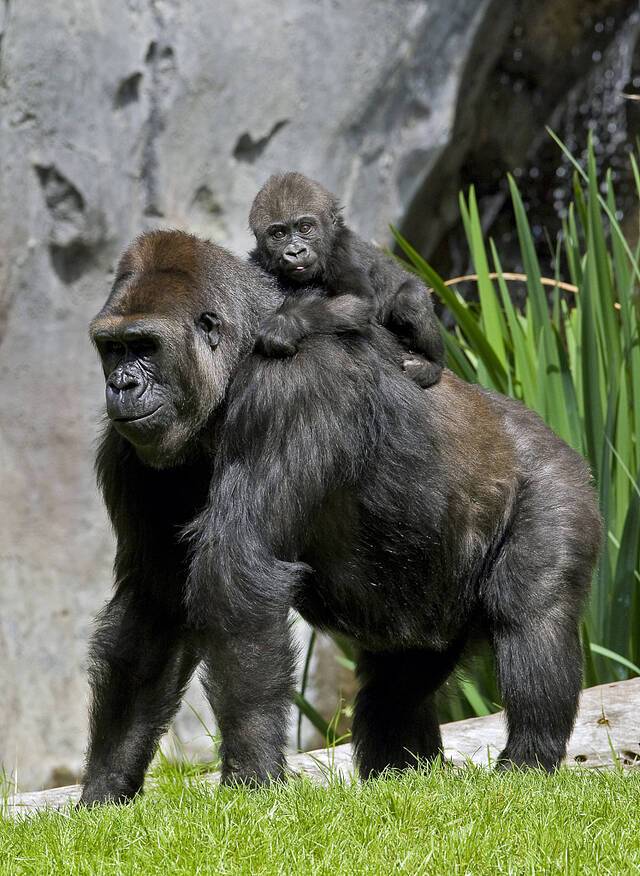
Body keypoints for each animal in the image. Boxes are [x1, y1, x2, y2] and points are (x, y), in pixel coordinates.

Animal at [80, 229, 600, 804]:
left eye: (145, 345)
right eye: (113, 347)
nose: (121, 386)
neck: (239, 360)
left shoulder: (295, 391)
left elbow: (237, 575)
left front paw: (251, 776)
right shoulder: (130, 452)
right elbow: (154, 608)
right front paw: (106, 785)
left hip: (559, 487)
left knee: (532, 616)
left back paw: (528, 763)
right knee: (398, 683)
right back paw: (402, 774)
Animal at [248, 171, 442, 386]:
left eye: (305, 228)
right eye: (279, 234)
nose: (296, 252)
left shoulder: (342, 252)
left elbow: (359, 300)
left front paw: (286, 323)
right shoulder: (257, 259)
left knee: (411, 298)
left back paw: (432, 364)